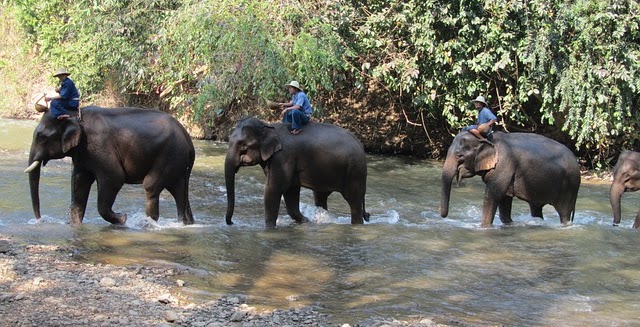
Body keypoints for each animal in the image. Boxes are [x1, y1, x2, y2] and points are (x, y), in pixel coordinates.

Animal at [25, 107, 195, 226]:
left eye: (42, 137)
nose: (40, 219)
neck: (76, 115)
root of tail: (189, 140)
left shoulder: (99, 146)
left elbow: (114, 178)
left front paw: (123, 219)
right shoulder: (83, 154)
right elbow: (79, 182)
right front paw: (74, 224)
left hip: (170, 155)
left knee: (151, 186)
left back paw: (148, 224)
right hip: (177, 163)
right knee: (179, 191)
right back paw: (185, 223)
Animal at [224, 118, 368, 228]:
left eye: (243, 146)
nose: (231, 222)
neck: (268, 127)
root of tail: (361, 146)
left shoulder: (283, 158)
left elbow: (274, 189)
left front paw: (269, 228)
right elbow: (290, 193)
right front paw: (305, 221)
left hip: (354, 171)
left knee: (354, 201)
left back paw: (356, 225)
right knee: (320, 197)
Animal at [440, 131, 580, 228]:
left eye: (459, 155)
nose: (443, 216)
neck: (487, 139)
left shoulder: (503, 165)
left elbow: (494, 195)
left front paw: (483, 227)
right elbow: (504, 199)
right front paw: (509, 224)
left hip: (569, 187)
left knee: (564, 213)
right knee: (536, 208)